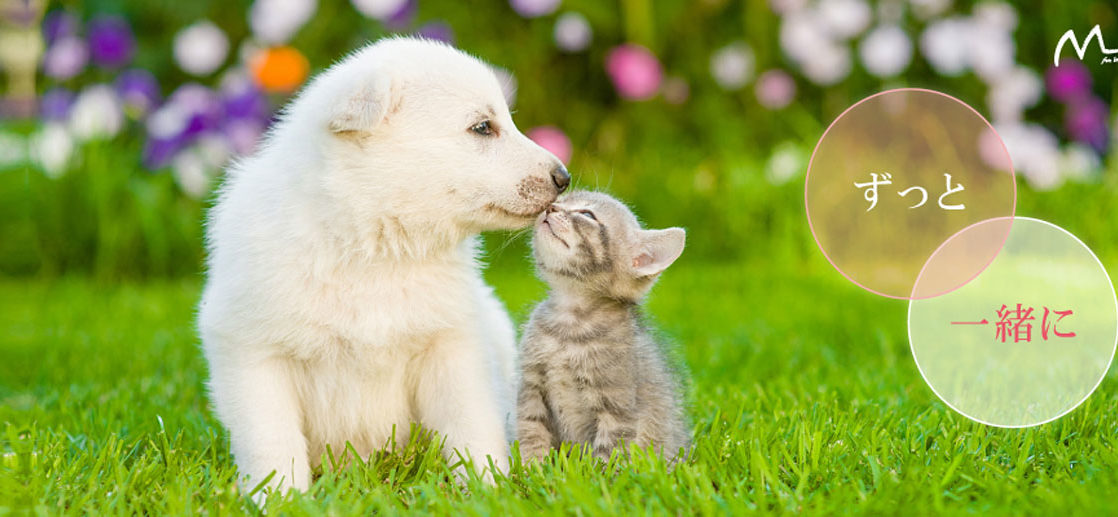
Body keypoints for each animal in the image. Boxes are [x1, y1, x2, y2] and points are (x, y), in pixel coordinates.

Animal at [196, 38, 572, 494]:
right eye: (483, 127)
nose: (564, 177)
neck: (373, 247)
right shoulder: (253, 353)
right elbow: (272, 440)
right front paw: (279, 496)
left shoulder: (452, 347)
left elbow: (472, 425)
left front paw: (488, 489)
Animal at [516, 191, 688, 465]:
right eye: (561, 200)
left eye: (587, 214)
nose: (550, 207)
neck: (570, 321)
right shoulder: (531, 389)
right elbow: (531, 432)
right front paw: (530, 470)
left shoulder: (617, 406)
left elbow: (608, 453)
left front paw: (597, 476)